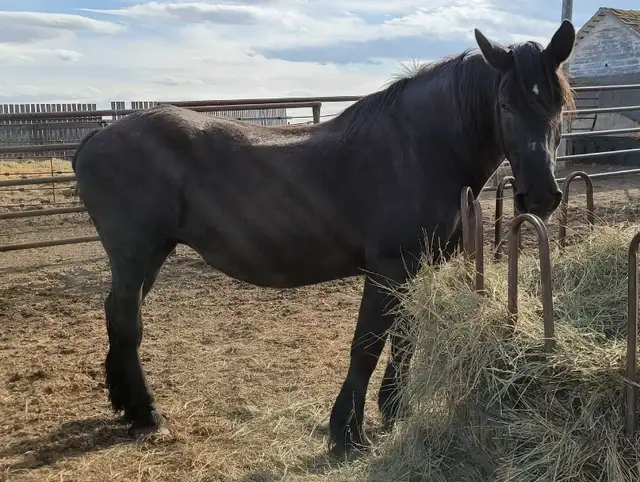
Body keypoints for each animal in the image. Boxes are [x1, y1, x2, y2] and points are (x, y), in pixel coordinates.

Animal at [71, 20, 576, 458]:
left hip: (150, 255)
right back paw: (148, 415)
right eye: (506, 105)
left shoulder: (417, 268)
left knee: (117, 314)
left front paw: (395, 411)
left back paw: (127, 407)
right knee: (127, 321)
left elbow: (405, 338)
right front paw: (346, 433)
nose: (541, 195)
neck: (420, 149)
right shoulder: (390, 267)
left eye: (557, 105)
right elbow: (367, 344)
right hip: (135, 253)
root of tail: (97, 136)